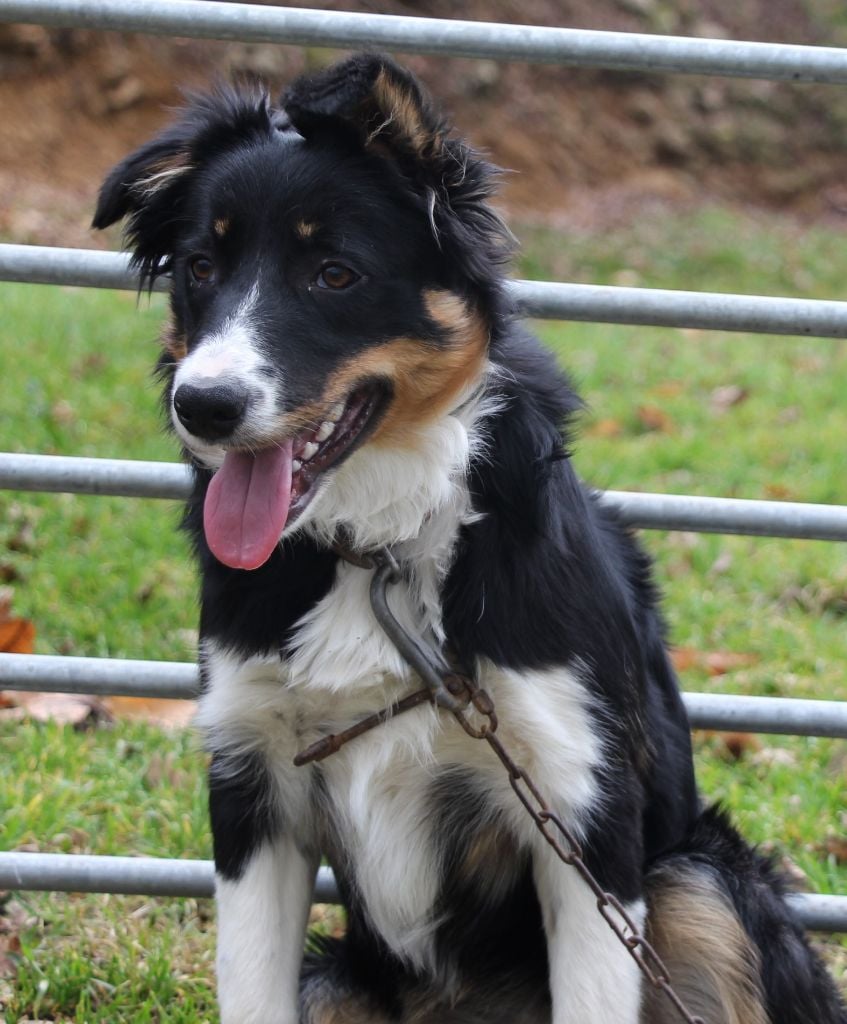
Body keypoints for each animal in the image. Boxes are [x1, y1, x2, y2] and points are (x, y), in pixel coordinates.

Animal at [94, 54, 845, 1024]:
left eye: (334, 274)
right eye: (199, 266)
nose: (204, 407)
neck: (377, 552)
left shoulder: (579, 807)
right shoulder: (253, 788)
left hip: (699, 879)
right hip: (337, 979)